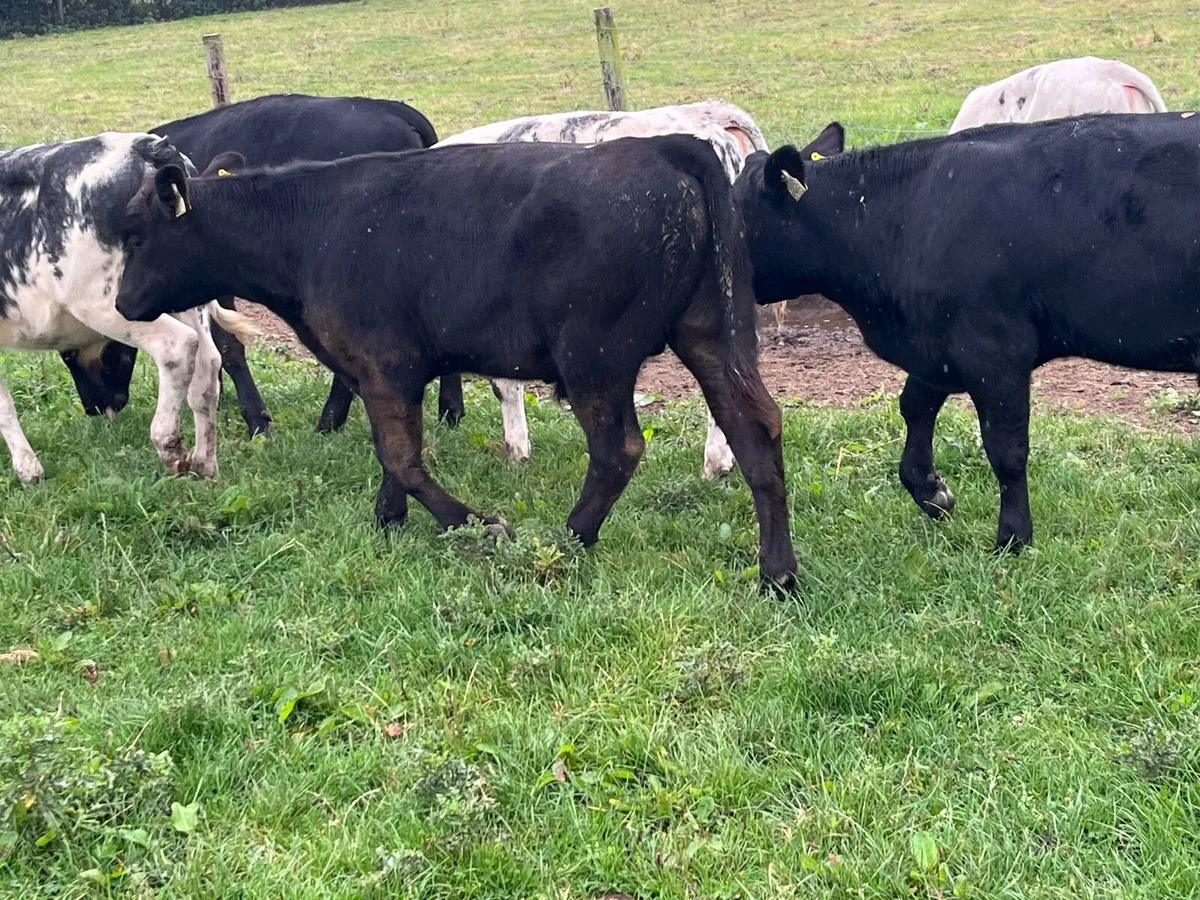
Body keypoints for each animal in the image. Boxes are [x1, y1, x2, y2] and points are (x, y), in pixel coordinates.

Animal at [0, 132, 255, 481]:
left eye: (67, 355)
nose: (94, 408)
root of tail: (148, 147)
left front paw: (28, 468)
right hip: (185, 300)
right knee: (208, 366)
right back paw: (205, 463)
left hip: (111, 304)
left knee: (177, 347)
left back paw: (169, 444)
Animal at [57, 93, 445, 436]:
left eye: (70, 353)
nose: (93, 407)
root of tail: (392, 108)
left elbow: (228, 345)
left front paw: (255, 419)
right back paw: (448, 413)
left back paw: (330, 419)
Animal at [735, 113, 1200, 552]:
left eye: (733, 216)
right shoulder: (938, 344)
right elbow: (915, 406)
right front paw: (931, 491)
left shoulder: (993, 349)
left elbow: (1005, 447)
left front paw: (1013, 538)